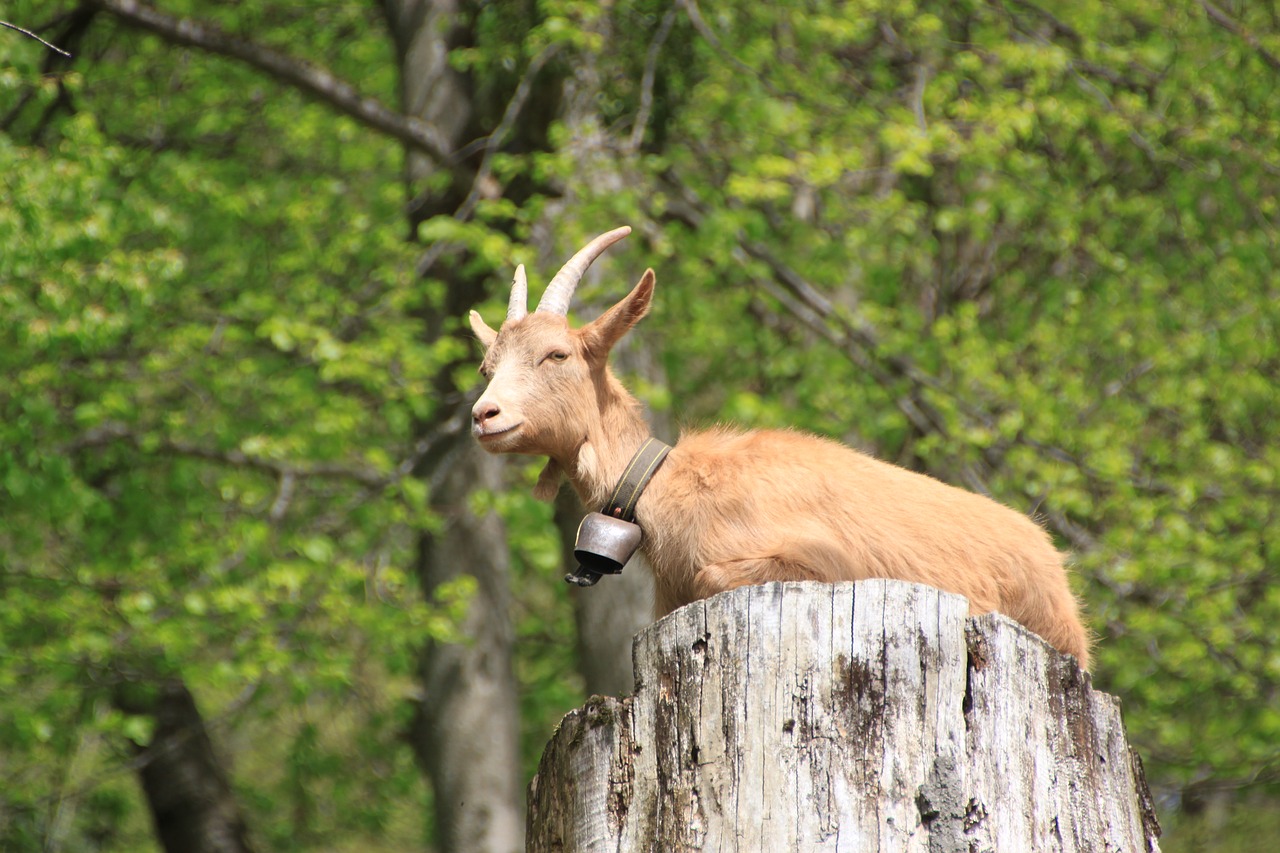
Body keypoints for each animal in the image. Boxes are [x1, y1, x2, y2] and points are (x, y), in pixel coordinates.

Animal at [468, 225, 1090, 666]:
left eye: (557, 354)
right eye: (486, 366)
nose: (484, 415)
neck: (670, 489)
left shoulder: (821, 559)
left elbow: (716, 576)